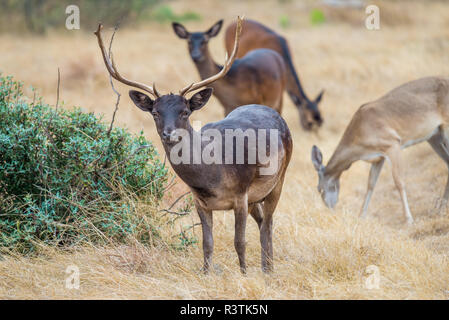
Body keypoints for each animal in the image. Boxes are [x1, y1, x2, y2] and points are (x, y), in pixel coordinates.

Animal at [95, 16, 292, 272]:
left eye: (185, 111)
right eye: (155, 113)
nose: (169, 133)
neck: (212, 175)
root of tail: (274, 113)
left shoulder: (240, 194)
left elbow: (239, 242)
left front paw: (244, 274)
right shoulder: (201, 202)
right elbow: (207, 244)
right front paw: (207, 274)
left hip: (278, 178)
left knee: (268, 222)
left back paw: (268, 270)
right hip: (256, 195)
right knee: (262, 222)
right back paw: (267, 266)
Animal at [310, 76, 448, 224]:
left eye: (319, 189)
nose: (330, 208)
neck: (359, 134)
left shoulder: (393, 144)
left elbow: (399, 182)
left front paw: (409, 219)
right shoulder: (378, 157)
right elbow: (370, 184)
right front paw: (361, 216)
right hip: (434, 137)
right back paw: (441, 207)